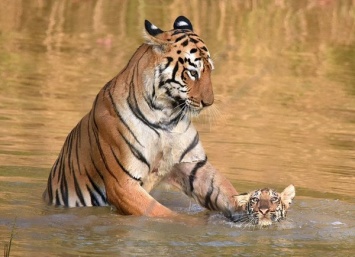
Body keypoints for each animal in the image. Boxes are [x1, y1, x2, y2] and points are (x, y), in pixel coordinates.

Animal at [43, 16, 241, 219]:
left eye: (210, 70)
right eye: (193, 72)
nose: (208, 102)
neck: (167, 116)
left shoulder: (192, 164)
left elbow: (224, 190)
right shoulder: (122, 184)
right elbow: (167, 215)